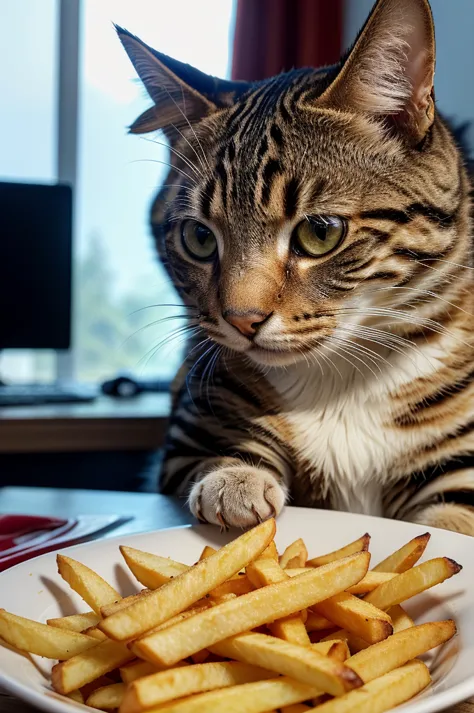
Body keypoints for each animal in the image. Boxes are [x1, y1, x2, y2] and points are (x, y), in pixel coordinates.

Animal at [116, 0, 474, 536]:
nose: (242, 320)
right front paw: (236, 482)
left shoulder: (460, 469)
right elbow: (220, 452)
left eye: (319, 233)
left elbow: (449, 523)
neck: (340, 383)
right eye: (199, 238)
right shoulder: (191, 430)